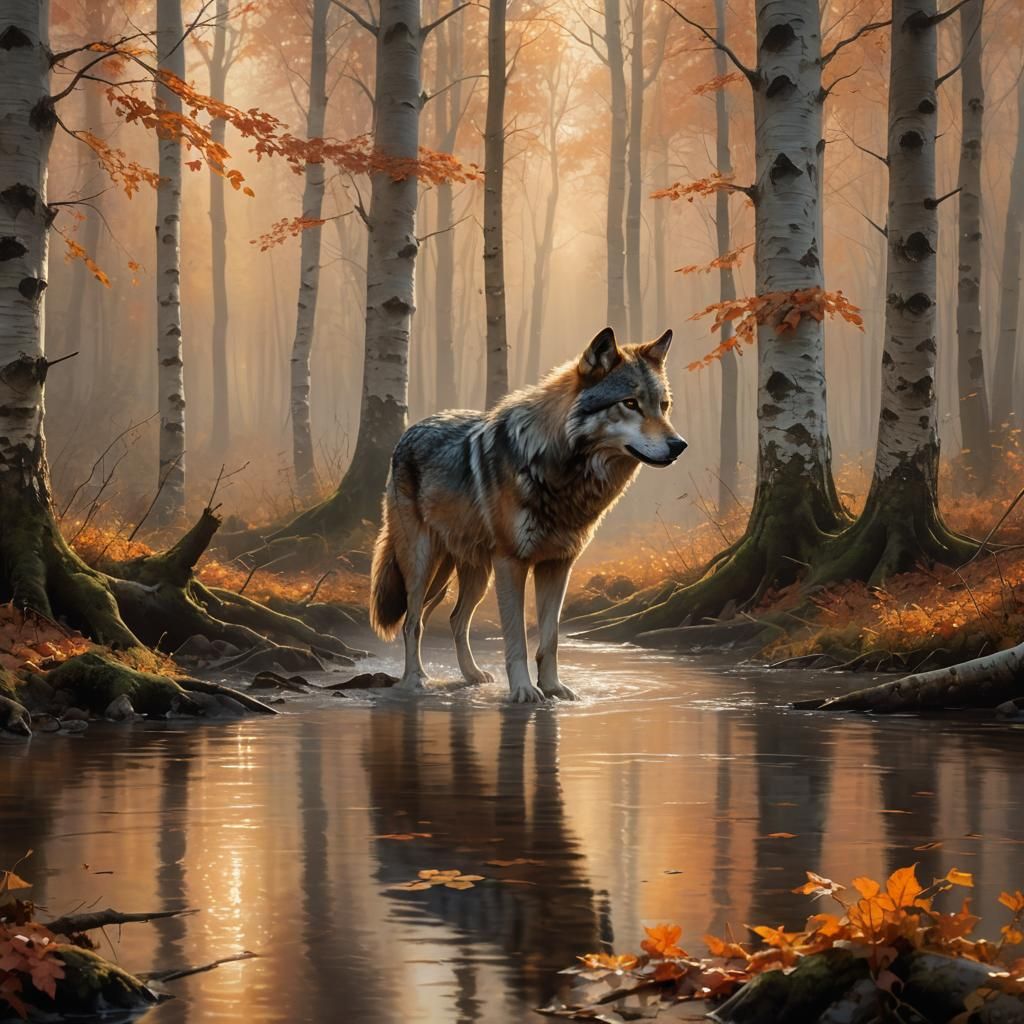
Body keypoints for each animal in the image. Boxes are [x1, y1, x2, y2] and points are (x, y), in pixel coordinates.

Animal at [369, 326, 687, 703]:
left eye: (663, 406)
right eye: (630, 403)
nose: (679, 445)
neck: (561, 474)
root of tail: (411, 429)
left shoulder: (558, 564)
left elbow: (550, 639)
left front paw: (553, 688)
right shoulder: (512, 562)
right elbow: (517, 637)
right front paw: (523, 690)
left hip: (473, 573)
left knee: (455, 619)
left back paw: (471, 674)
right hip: (422, 562)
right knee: (412, 621)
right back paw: (415, 679)